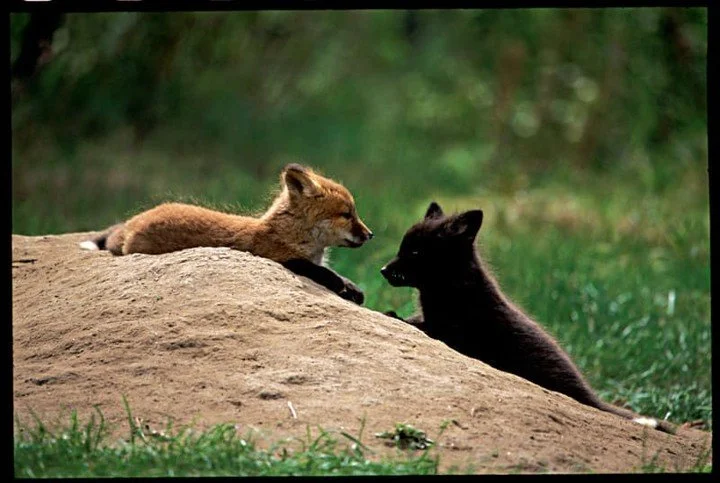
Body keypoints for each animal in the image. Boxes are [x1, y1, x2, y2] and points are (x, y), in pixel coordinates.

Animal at [79, 163, 373, 304]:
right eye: (347, 214)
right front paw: (344, 287)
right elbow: (323, 273)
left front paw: (353, 288)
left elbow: (336, 274)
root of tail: (134, 221)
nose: (370, 235)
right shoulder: (280, 257)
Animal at [380, 201, 676, 434]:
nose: (383, 270)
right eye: (402, 247)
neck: (453, 289)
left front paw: (393, 315)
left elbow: (414, 324)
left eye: (415, 252)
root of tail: (591, 397)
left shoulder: (449, 332)